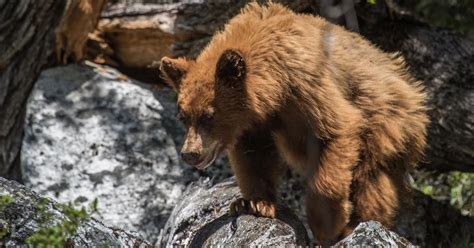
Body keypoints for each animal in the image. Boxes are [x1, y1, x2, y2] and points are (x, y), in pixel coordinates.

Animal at [159, 1, 430, 245]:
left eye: (209, 115)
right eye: (183, 116)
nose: (190, 153)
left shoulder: (307, 86)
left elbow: (336, 132)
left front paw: (328, 225)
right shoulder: (254, 122)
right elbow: (253, 157)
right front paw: (253, 202)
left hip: (387, 120)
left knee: (371, 178)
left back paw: (360, 224)